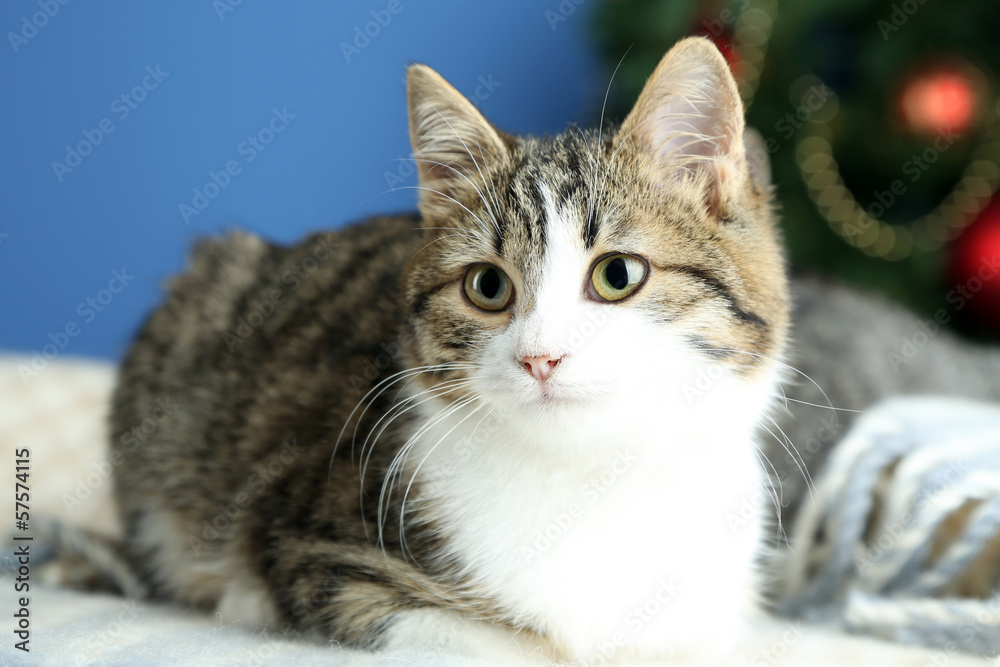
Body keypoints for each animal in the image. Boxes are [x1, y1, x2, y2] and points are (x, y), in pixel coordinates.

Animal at [107, 34, 1000, 664]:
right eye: (487, 287)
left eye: (618, 274)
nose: (541, 357)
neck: (591, 476)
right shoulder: (327, 551)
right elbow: (505, 642)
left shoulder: (702, 615)